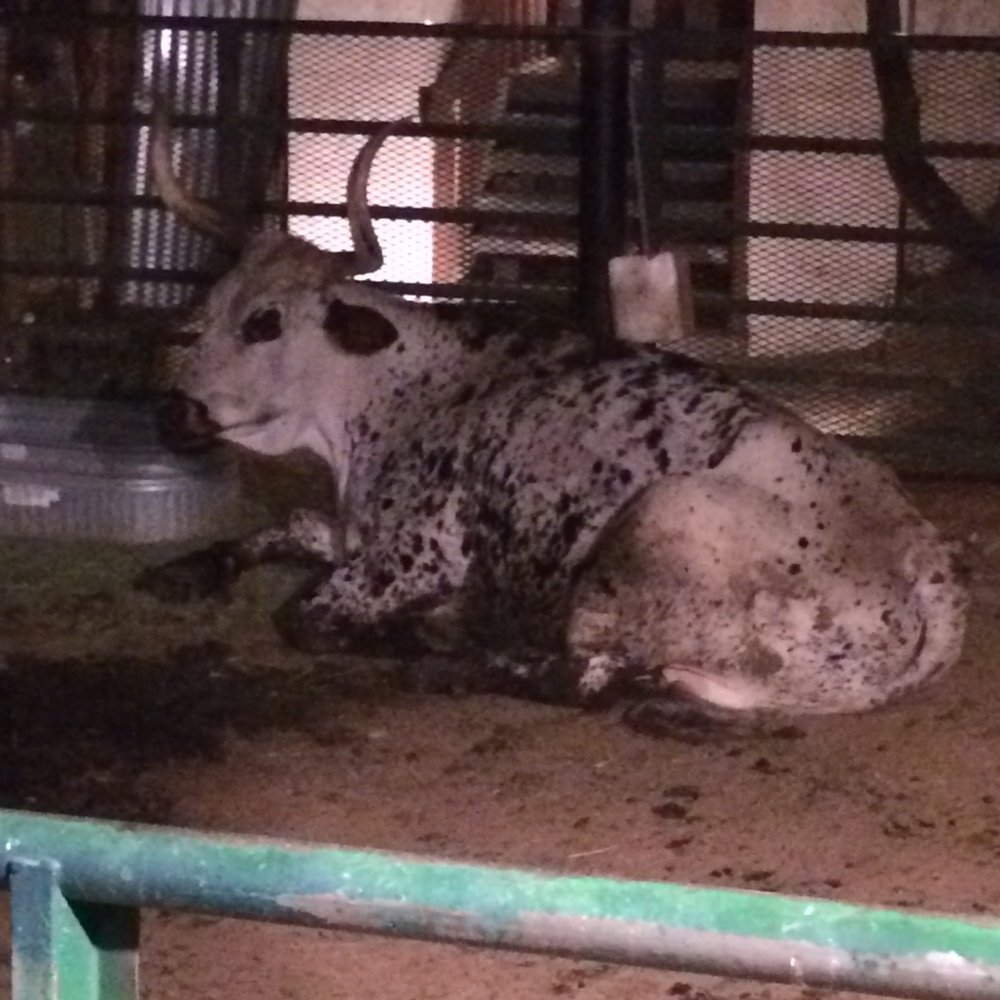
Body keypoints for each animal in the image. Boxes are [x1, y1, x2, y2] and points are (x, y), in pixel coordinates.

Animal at [137, 115, 968, 734]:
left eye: (265, 322)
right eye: (209, 308)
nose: (174, 409)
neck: (400, 390)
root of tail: (929, 570)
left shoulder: (410, 555)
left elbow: (304, 616)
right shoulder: (355, 529)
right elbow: (284, 526)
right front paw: (185, 570)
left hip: (652, 528)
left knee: (584, 673)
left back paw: (448, 648)